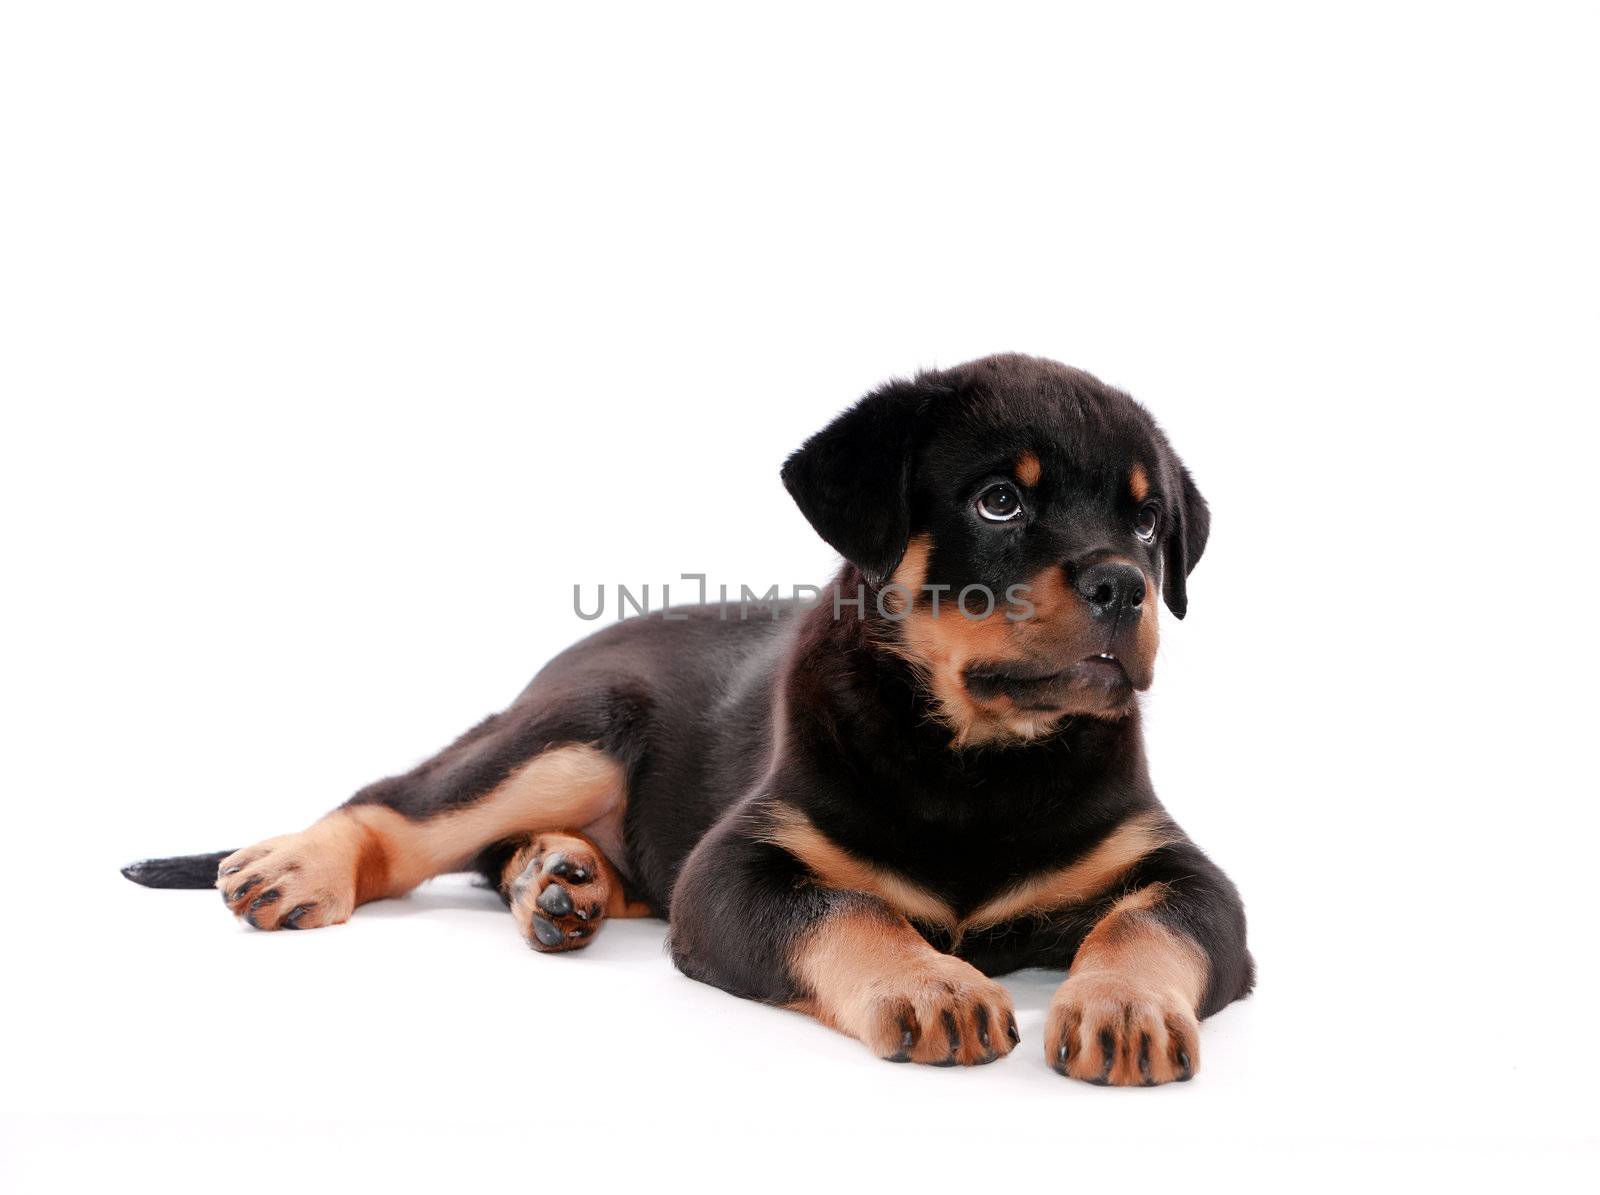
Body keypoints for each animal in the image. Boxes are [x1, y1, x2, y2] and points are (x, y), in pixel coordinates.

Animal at [124, 353, 1248, 1081]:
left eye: (1148, 521)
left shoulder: (1184, 872)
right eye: (999, 504)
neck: (976, 759)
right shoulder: (735, 870)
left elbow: (1149, 920)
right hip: (577, 728)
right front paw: (932, 983)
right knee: (404, 807)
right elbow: (849, 908)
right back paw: (301, 864)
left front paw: (1124, 1006)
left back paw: (559, 879)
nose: (1123, 585)